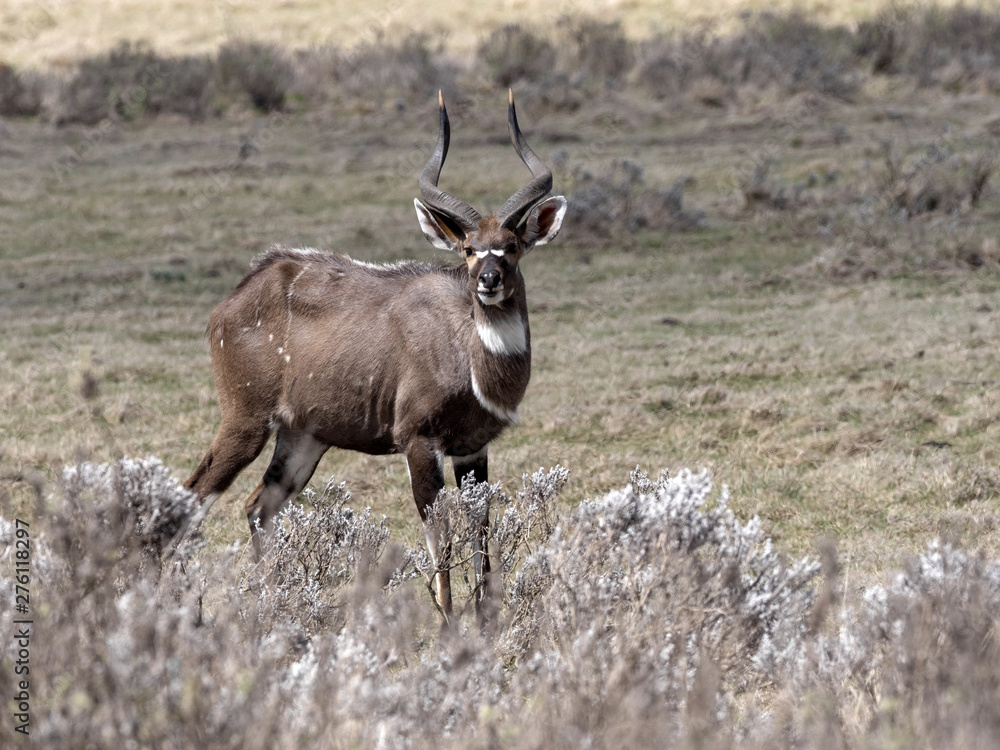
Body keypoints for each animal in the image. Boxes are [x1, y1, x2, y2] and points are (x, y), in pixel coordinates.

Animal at [184, 91, 566, 623]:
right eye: (469, 249)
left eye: (510, 246)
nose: (488, 281)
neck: (469, 355)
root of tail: (230, 303)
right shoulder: (418, 440)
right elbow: (440, 537)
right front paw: (448, 625)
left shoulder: (474, 448)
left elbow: (481, 532)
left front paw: (486, 622)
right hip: (245, 420)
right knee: (194, 498)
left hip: (303, 438)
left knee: (258, 507)